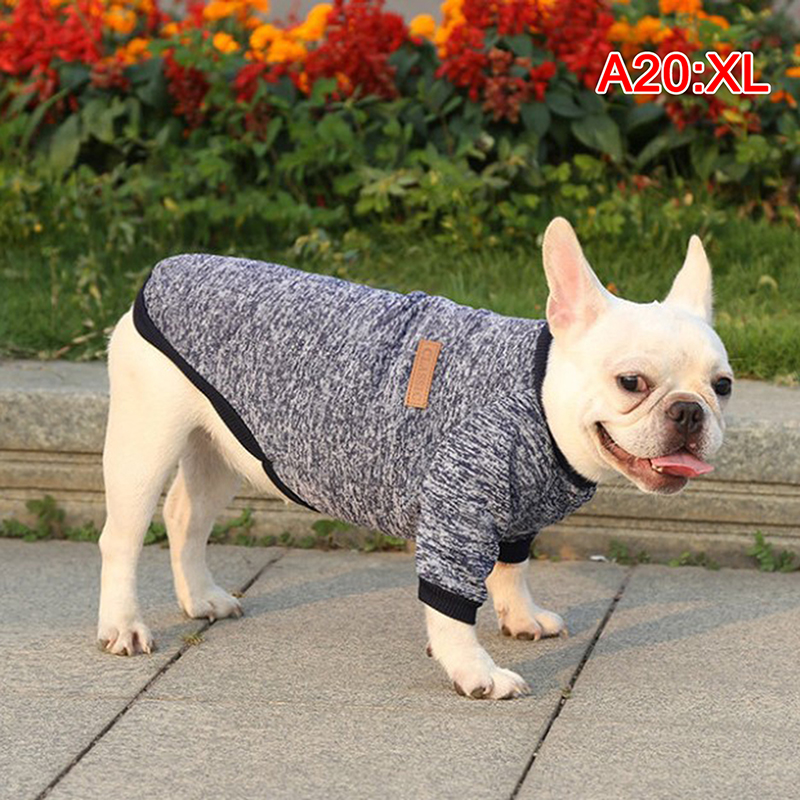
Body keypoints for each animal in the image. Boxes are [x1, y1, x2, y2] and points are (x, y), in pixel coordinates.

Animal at [97, 217, 732, 700]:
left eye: (722, 386)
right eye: (631, 382)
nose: (689, 411)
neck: (539, 393)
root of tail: (163, 269)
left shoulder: (515, 516)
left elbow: (513, 569)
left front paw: (520, 617)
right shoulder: (459, 505)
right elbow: (453, 602)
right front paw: (475, 672)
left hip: (221, 447)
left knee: (185, 515)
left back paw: (200, 598)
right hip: (146, 436)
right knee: (123, 537)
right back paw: (124, 625)